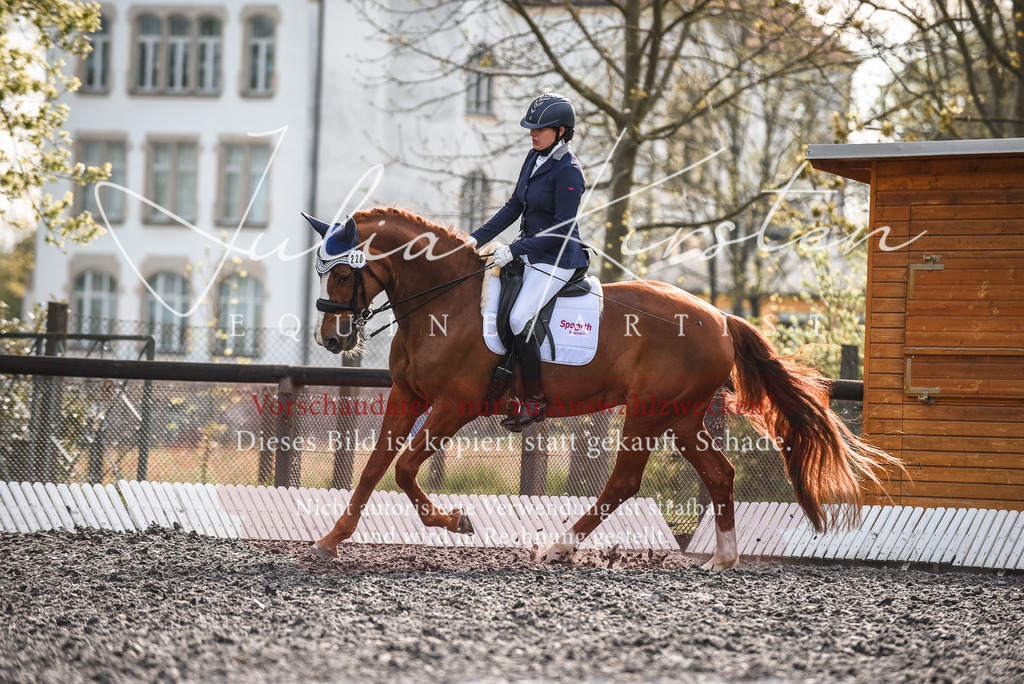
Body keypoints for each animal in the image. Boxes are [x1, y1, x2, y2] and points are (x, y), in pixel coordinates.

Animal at [304, 207, 893, 569]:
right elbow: (373, 468)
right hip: (681, 415)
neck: (443, 301)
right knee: (719, 474)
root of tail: (721, 318)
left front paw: (457, 521)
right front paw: (330, 541)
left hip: (647, 412)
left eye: (342, 273)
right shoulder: (409, 397)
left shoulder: (456, 404)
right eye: (322, 271)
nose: (332, 338)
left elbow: (404, 469)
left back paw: (558, 549)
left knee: (624, 483)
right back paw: (721, 558)